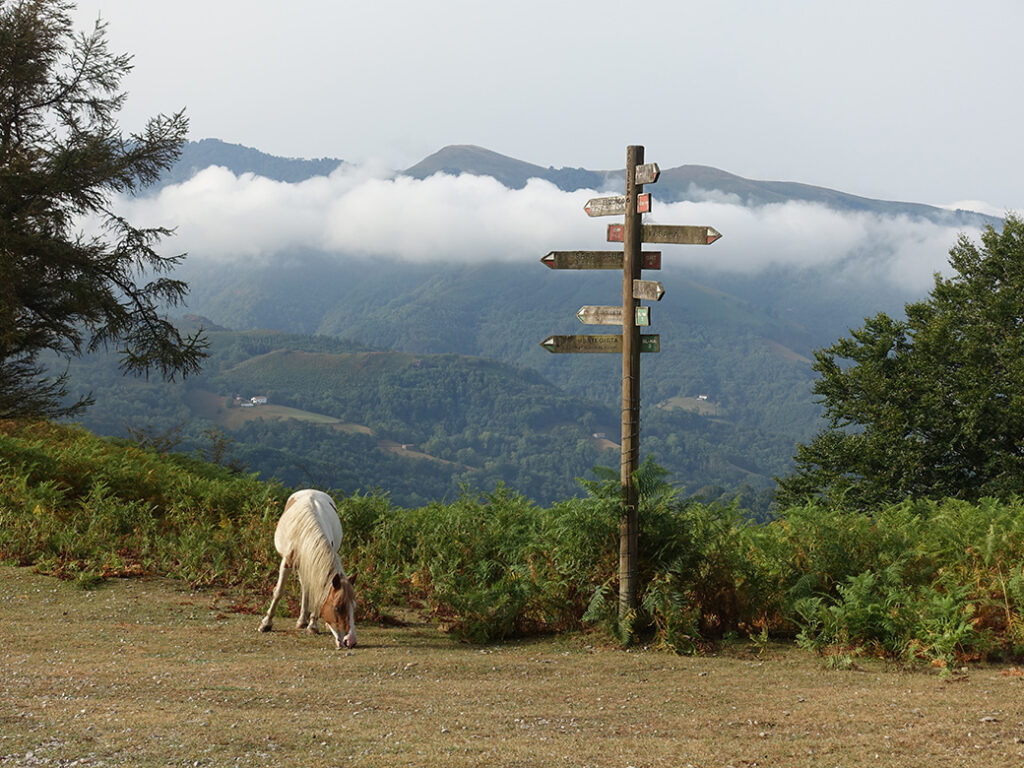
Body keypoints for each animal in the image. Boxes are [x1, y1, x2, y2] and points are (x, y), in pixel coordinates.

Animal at [258, 489, 358, 647]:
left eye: (353, 607)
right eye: (337, 607)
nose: (351, 641)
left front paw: (313, 626)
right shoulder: (286, 562)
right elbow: (278, 592)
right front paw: (266, 624)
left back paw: (304, 621)